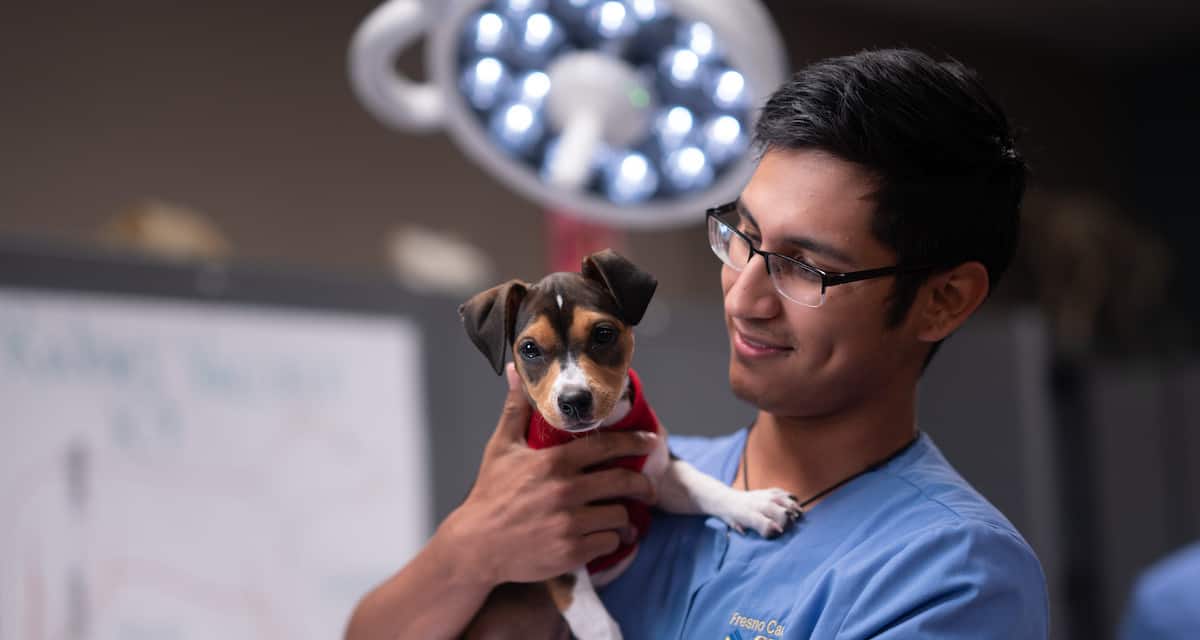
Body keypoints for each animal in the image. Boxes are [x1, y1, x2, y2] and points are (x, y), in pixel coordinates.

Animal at [458, 248, 806, 638]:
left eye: (603, 334)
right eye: (529, 349)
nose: (574, 400)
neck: (602, 433)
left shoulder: (656, 475)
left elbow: (704, 486)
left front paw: (755, 504)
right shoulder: (553, 546)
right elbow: (592, 616)